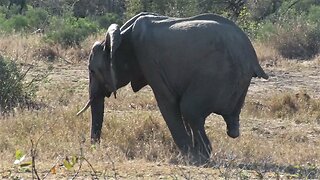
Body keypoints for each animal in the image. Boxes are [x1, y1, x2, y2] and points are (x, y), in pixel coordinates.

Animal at [77, 12, 268, 162]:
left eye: (92, 70)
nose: (94, 147)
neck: (122, 36)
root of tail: (253, 59)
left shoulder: (150, 62)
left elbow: (168, 103)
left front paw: (188, 157)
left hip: (218, 75)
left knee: (189, 110)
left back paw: (201, 157)